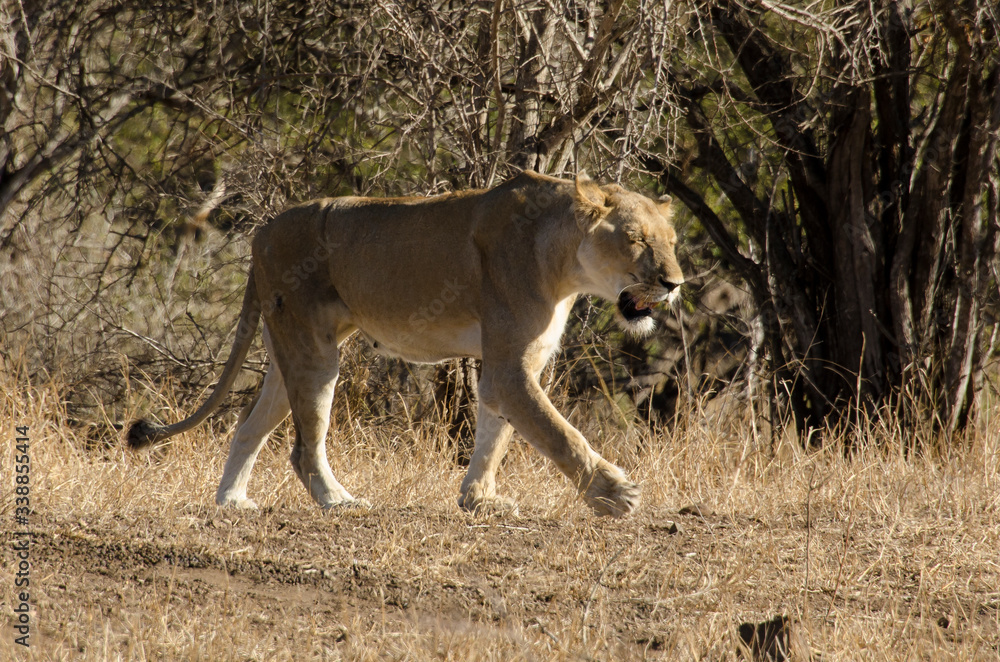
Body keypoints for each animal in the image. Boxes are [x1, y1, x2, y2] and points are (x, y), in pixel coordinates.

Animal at [128, 170, 684, 518]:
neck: (565, 261)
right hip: (314, 352)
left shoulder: (512, 363)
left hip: (288, 347)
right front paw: (614, 493)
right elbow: (557, 432)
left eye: (672, 242)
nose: (675, 283)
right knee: (304, 448)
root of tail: (259, 234)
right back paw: (338, 501)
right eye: (636, 239)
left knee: (248, 426)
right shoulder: (511, 365)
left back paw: (232, 502)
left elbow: (496, 433)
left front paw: (479, 500)